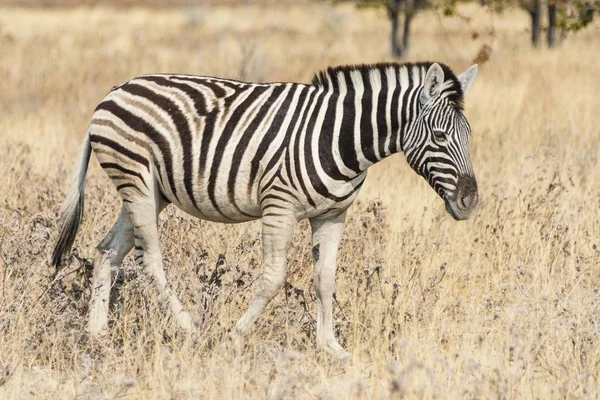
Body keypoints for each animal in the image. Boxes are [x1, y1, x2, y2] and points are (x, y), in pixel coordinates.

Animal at [54, 61, 480, 356]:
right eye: (439, 136)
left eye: (469, 135)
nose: (470, 202)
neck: (341, 139)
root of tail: (115, 90)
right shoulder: (280, 207)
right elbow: (274, 279)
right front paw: (234, 336)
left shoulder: (333, 214)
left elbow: (325, 280)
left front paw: (332, 348)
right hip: (136, 179)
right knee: (150, 260)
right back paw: (189, 329)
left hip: (149, 191)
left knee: (107, 251)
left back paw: (96, 335)